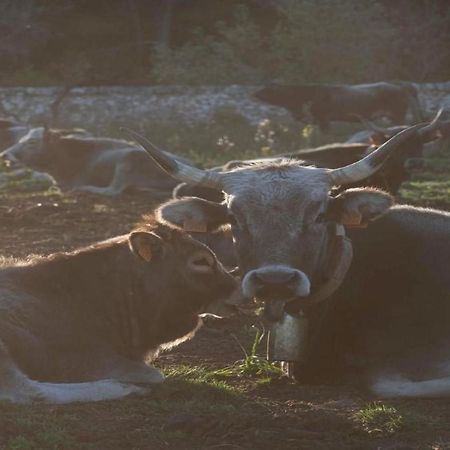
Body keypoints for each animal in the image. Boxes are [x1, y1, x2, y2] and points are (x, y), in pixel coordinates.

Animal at [0, 126, 193, 197]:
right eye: (21, 139)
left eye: (31, 142)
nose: (4, 154)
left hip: (127, 160)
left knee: (113, 191)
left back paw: (84, 189)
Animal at [0, 216, 241, 402]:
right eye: (201, 261)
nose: (239, 289)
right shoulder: (78, 358)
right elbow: (154, 375)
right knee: (27, 392)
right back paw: (121, 387)